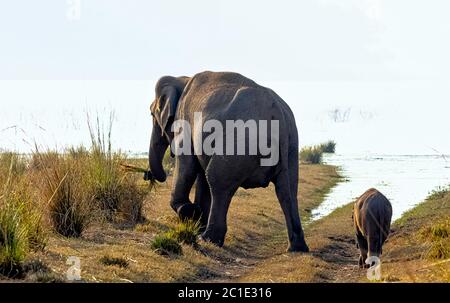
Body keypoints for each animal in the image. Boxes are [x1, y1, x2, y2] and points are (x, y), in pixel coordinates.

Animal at [148, 70, 310, 252]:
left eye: (151, 114)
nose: (149, 175)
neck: (182, 79)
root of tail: (278, 115)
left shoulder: (185, 121)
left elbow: (187, 166)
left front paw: (190, 212)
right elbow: (201, 175)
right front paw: (197, 219)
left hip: (240, 142)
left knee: (217, 181)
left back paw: (208, 239)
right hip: (291, 146)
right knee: (287, 190)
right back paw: (297, 248)